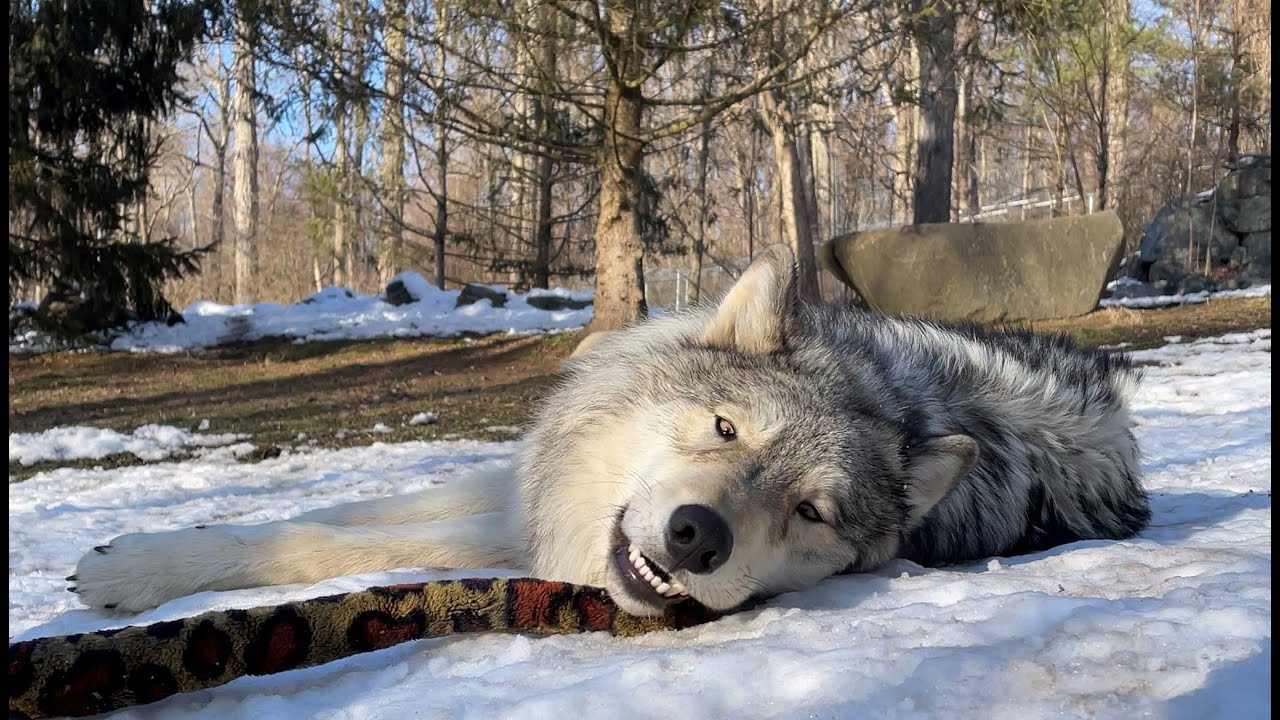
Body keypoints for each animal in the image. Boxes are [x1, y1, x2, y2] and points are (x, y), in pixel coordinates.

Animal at [72, 247, 1150, 617]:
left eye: (809, 511)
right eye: (724, 427)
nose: (696, 537)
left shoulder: (512, 534)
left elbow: (335, 547)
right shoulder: (516, 490)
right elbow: (313, 522)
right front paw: (146, 561)